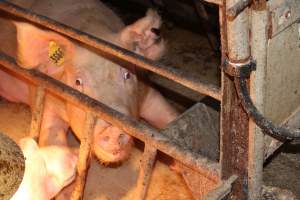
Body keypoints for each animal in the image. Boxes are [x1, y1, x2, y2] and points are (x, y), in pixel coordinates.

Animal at [0, 0, 178, 164]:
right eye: (78, 82)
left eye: (127, 75)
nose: (114, 129)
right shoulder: (45, 96)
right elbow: (51, 136)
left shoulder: (146, 92)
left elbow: (169, 116)